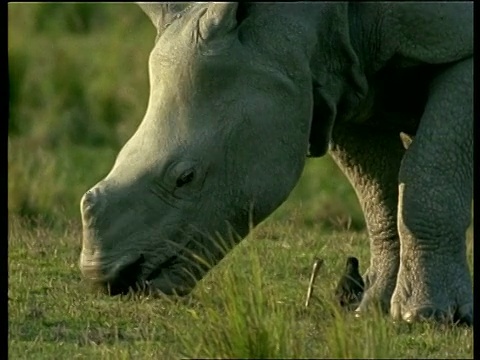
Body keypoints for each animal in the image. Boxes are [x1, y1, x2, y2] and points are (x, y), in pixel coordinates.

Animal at [79, 1, 472, 324]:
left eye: (185, 178)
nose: (107, 280)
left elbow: (426, 178)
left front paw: (425, 316)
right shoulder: (346, 78)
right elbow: (379, 192)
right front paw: (373, 307)